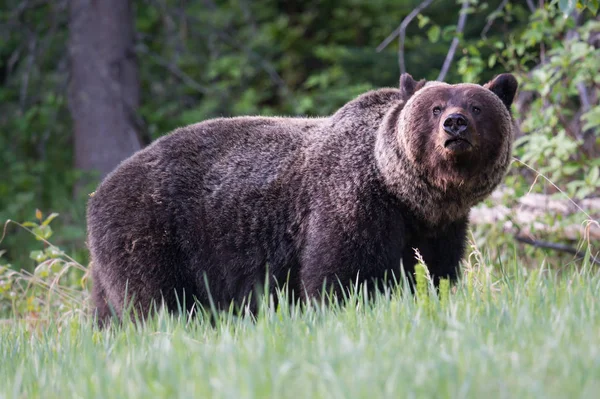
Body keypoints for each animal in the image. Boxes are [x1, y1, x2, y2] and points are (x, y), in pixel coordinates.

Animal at [86, 72, 516, 324]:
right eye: (435, 107)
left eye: (477, 106)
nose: (455, 125)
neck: (409, 196)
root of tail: (100, 189)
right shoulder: (353, 202)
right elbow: (340, 274)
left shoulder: (440, 228)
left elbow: (434, 272)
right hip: (151, 231)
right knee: (154, 300)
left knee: (109, 313)